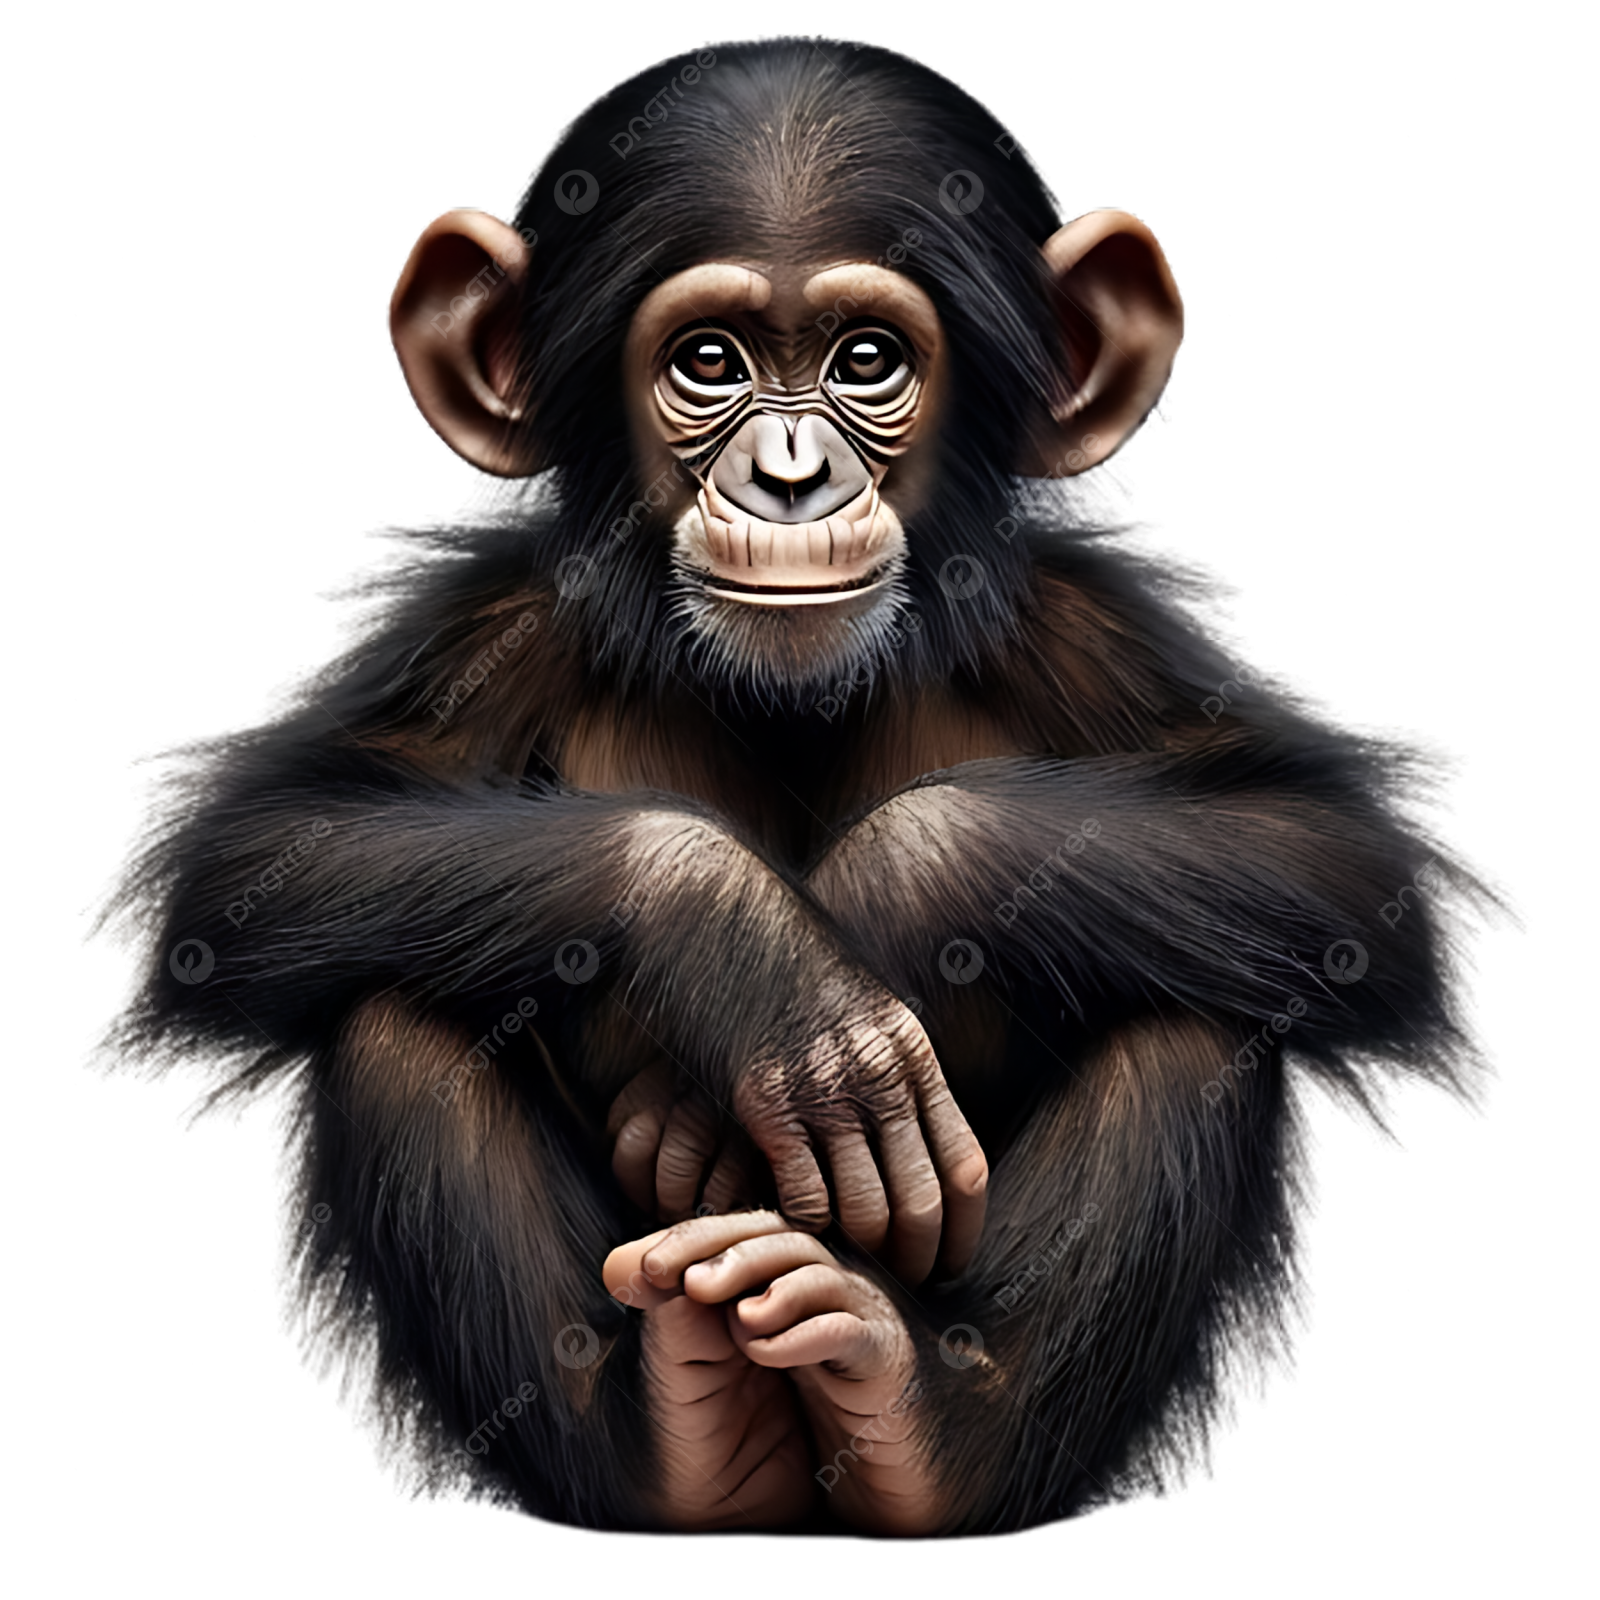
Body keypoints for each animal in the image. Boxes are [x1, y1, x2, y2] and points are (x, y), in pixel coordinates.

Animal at [87, 35, 1526, 1538]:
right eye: (708, 362)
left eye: (868, 360)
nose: (788, 475)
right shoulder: (503, 619)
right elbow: (264, 857)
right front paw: (757, 966)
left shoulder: (1082, 619)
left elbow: (1331, 858)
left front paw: (880, 911)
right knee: (393, 1009)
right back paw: (682, 1433)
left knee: (1203, 1008)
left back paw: (923, 1420)